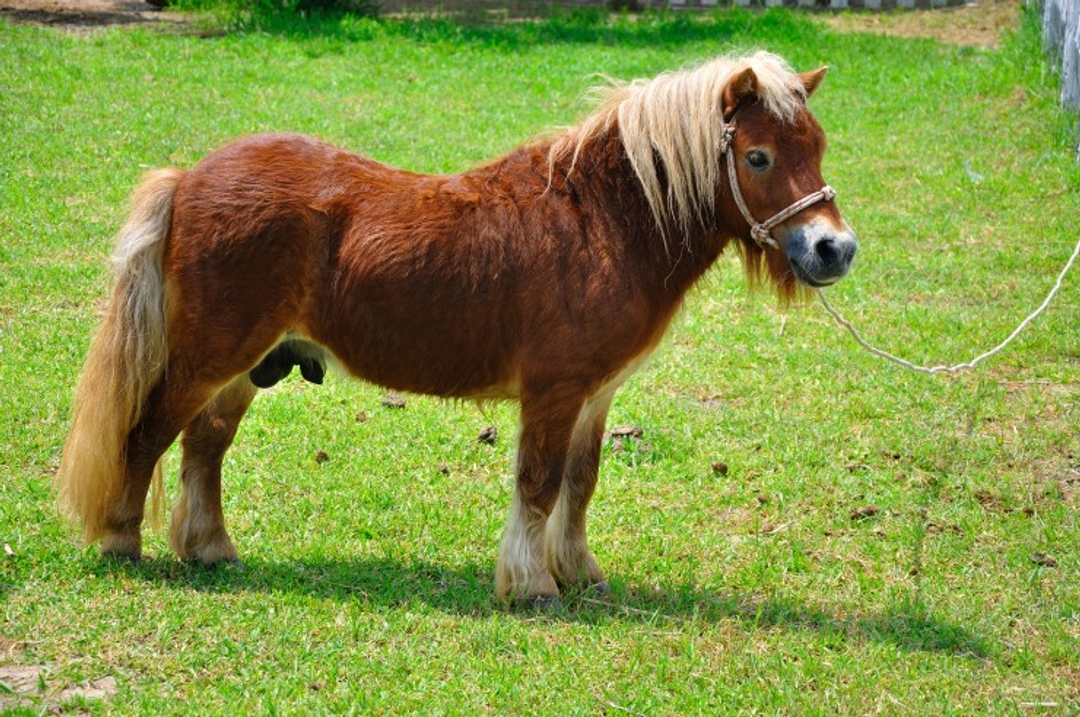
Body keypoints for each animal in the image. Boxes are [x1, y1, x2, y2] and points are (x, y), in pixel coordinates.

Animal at [56, 51, 857, 605]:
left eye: (819, 146)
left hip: (251, 363)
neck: (600, 222)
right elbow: (538, 483)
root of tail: (189, 178)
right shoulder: (555, 391)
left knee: (205, 445)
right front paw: (532, 586)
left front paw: (579, 573)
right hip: (208, 354)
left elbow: (579, 484)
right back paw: (123, 540)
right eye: (757, 156)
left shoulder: (595, 396)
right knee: (149, 431)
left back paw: (210, 548)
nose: (834, 249)